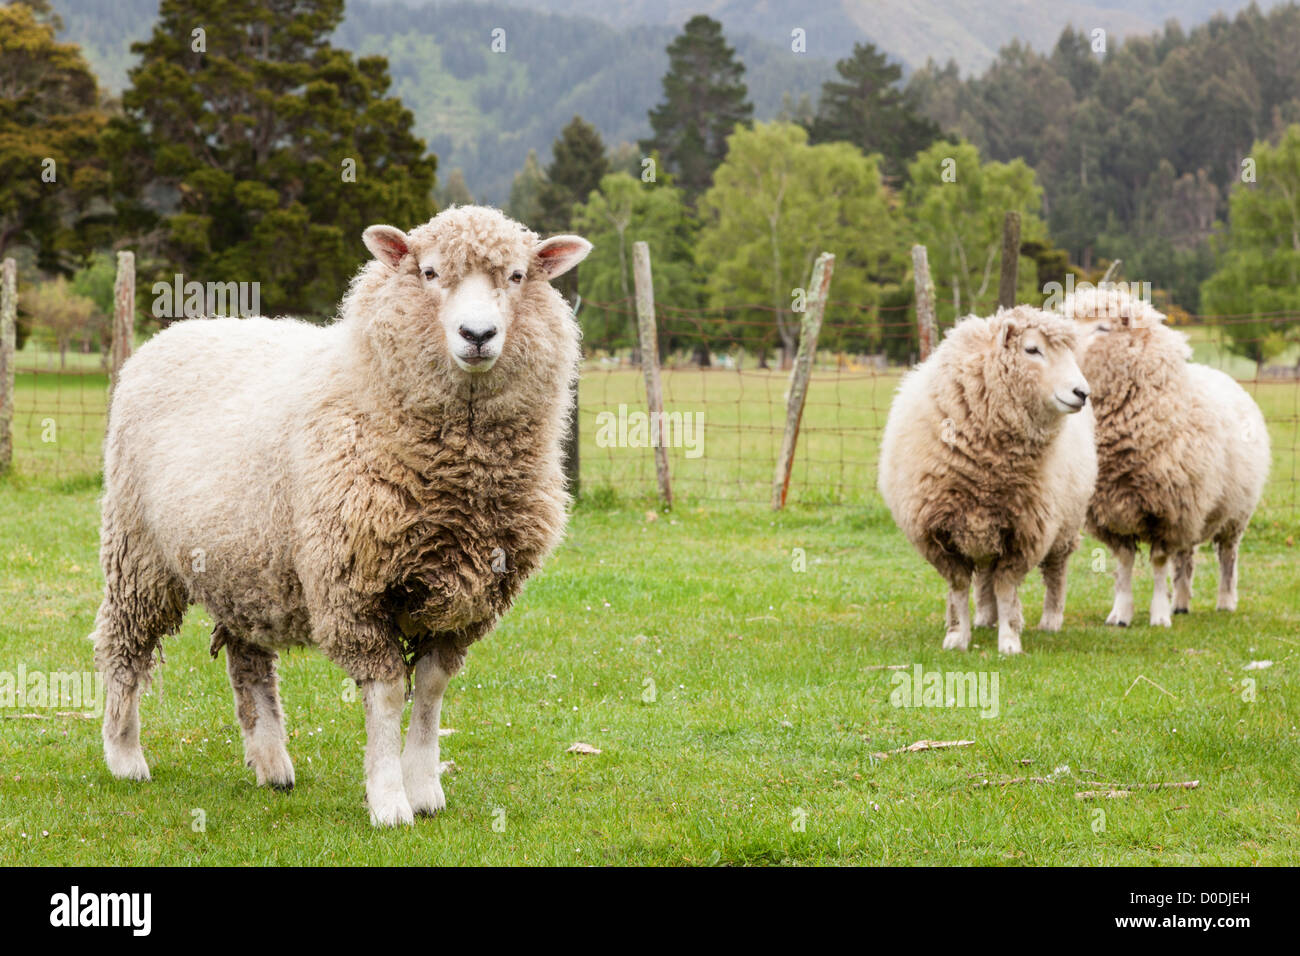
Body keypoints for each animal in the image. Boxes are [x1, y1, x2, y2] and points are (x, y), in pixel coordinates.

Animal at [92, 205, 595, 827]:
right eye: (429, 272)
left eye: (519, 276)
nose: (477, 335)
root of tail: (174, 332)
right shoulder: (353, 587)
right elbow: (388, 693)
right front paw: (389, 800)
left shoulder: (464, 599)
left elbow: (430, 690)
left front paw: (424, 788)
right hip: (137, 550)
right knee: (122, 645)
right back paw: (125, 755)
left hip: (244, 560)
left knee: (247, 659)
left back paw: (271, 764)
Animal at [873, 306, 1097, 658]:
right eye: (1032, 349)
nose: (1082, 393)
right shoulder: (940, 532)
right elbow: (959, 587)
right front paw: (957, 636)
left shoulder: (1024, 531)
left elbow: (1006, 588)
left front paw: (1009, 640)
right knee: (985, 577)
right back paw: (984, 618)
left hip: (1064, 524)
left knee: (1055, 571)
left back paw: (1050, 619)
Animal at [1055, 283, 1268, 629]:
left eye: (1103, 328)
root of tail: (1219, 374)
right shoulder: (1115, 511)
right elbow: (1125, 563)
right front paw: (1121, 613)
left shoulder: (1168, 511)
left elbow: (1157, 562)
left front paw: (1157, 614)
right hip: (1196, 508)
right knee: (1187, 557)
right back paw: (1180, 602)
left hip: (1235, 512)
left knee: (1227, 555)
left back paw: (1225, 601)